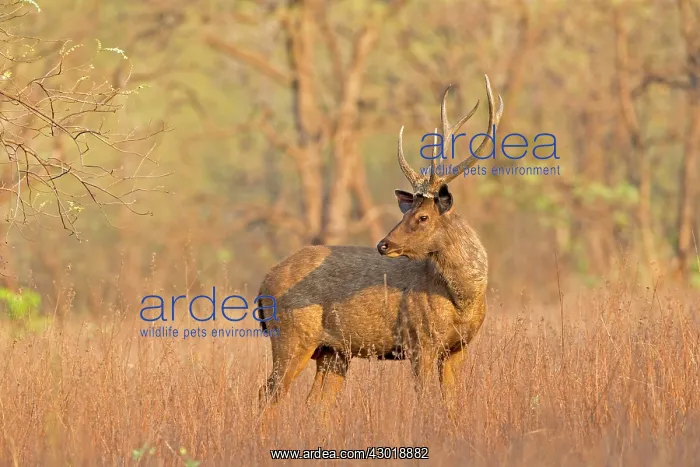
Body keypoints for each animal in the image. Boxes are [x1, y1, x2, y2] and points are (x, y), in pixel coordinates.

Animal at [256, 75, 503, 411]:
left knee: (316, 402)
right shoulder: (419, 341)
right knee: (268, 393)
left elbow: (451, 404)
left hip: (333, 350)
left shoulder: (458, 348)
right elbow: (425, 401)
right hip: (291, 336)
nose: (383, 244)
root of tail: (262, 286)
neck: (462, 300)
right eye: (407, 211)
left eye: (422, 216)